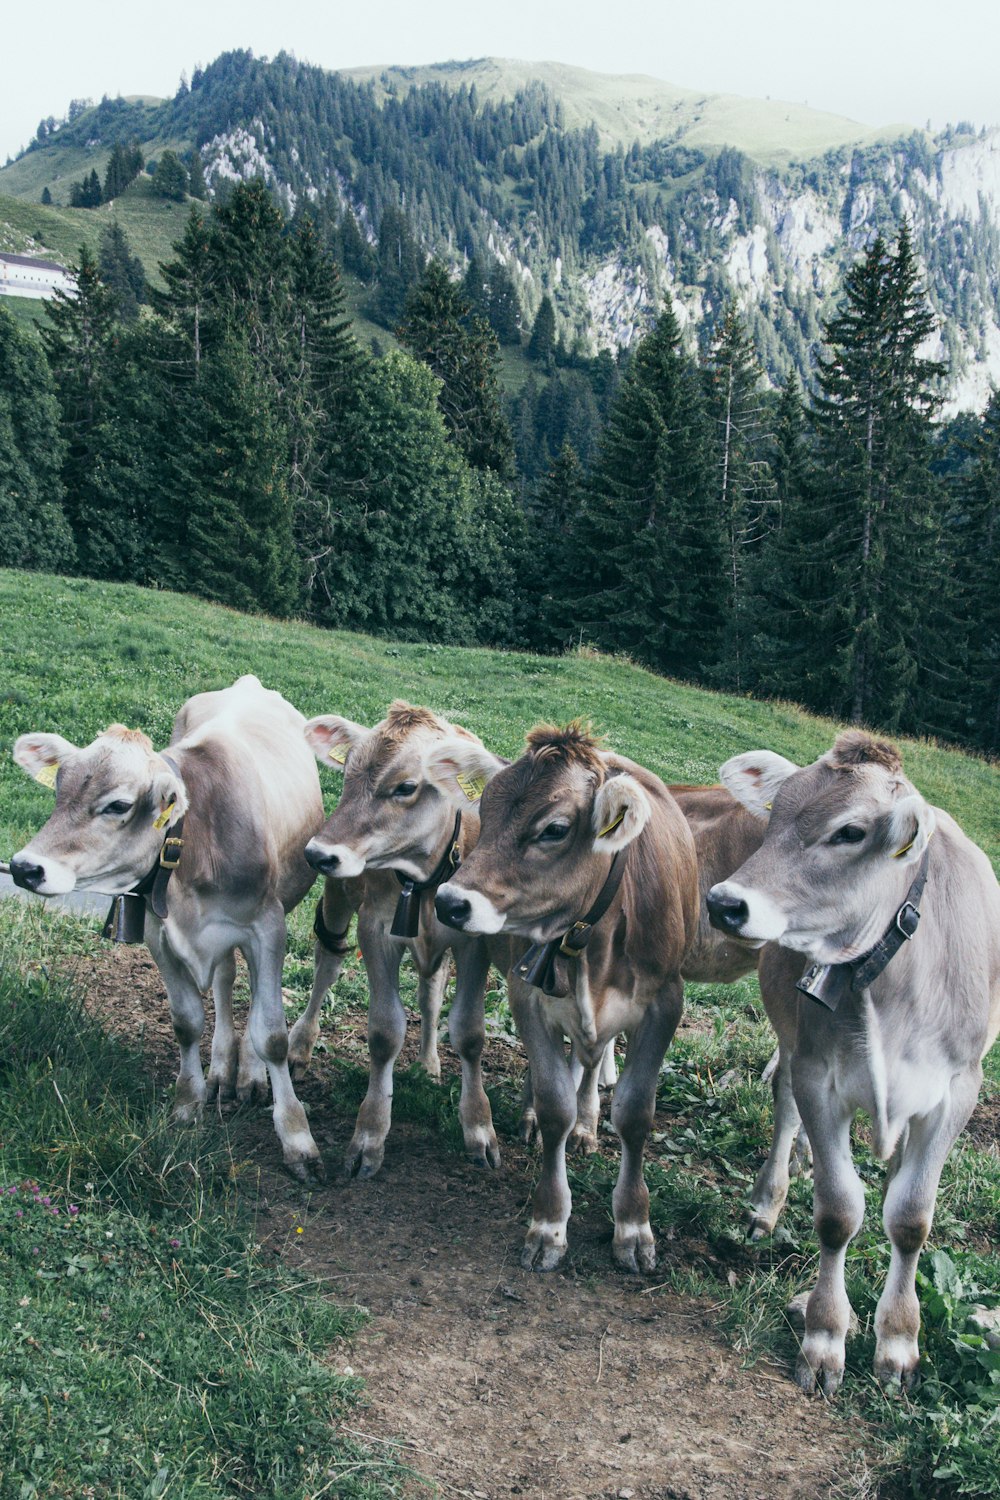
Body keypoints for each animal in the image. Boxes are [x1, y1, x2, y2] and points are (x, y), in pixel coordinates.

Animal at [431, 720, 704, 1272]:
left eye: (554, 829)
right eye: (485, 808)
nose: (450, 902)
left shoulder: (665, 1003)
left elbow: (635, 1114)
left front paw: (633, 1225)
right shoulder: (528, 995)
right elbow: (555, 1101)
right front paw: (549, 1222)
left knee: (593, 1057)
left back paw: (588, 1125)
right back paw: (535, 1116)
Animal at [704, 732, 1000, 1398]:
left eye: (850, 831)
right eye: (777, 814)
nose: (724, 903)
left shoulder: (957, 1091)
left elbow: (911, 1218)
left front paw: (898, 1342)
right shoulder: (819, 1074)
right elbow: (838, 1211)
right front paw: (824, 1336)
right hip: (791, 1042)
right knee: (785, 1109)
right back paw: (769, 1200)